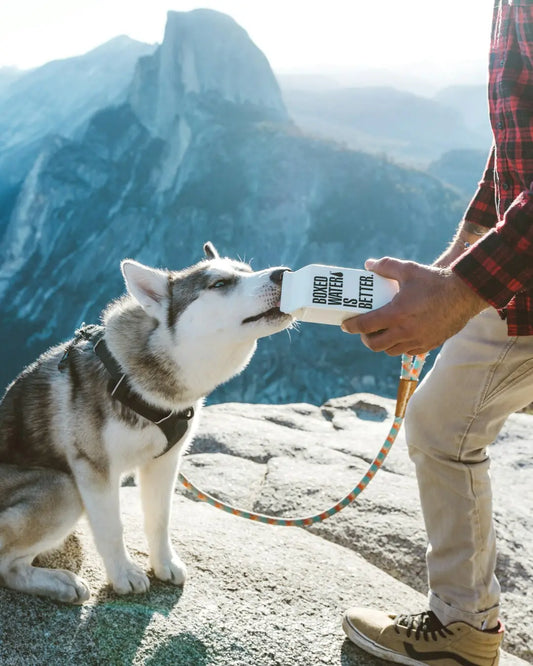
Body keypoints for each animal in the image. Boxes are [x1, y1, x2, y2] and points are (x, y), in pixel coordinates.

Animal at [0, 243, 290, 600]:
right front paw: (123, 573)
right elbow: (112, 527)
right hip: (64, 488)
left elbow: (159, 518)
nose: (284, 273)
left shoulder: (165, 461)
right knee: (7, 566)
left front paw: (164, 563)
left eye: (247, 270)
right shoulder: (93, 470)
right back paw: (58, 582)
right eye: (219, 283)